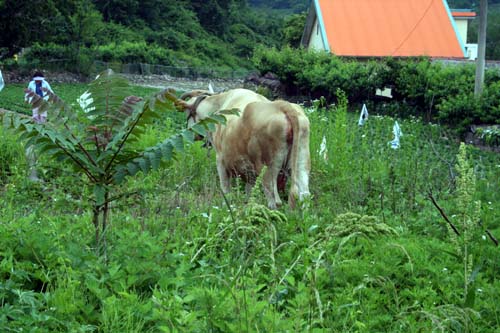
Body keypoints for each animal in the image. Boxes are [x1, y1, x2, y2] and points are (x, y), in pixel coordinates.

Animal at [176, 88, 308, 208]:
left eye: (187, 114)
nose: (189, 132)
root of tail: (280, 105)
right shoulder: (249, 173)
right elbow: (249, 192)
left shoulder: (221, 161)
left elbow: (225, 190)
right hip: (301, 163)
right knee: (303, 194)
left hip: (268, 169)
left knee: (274, 200)